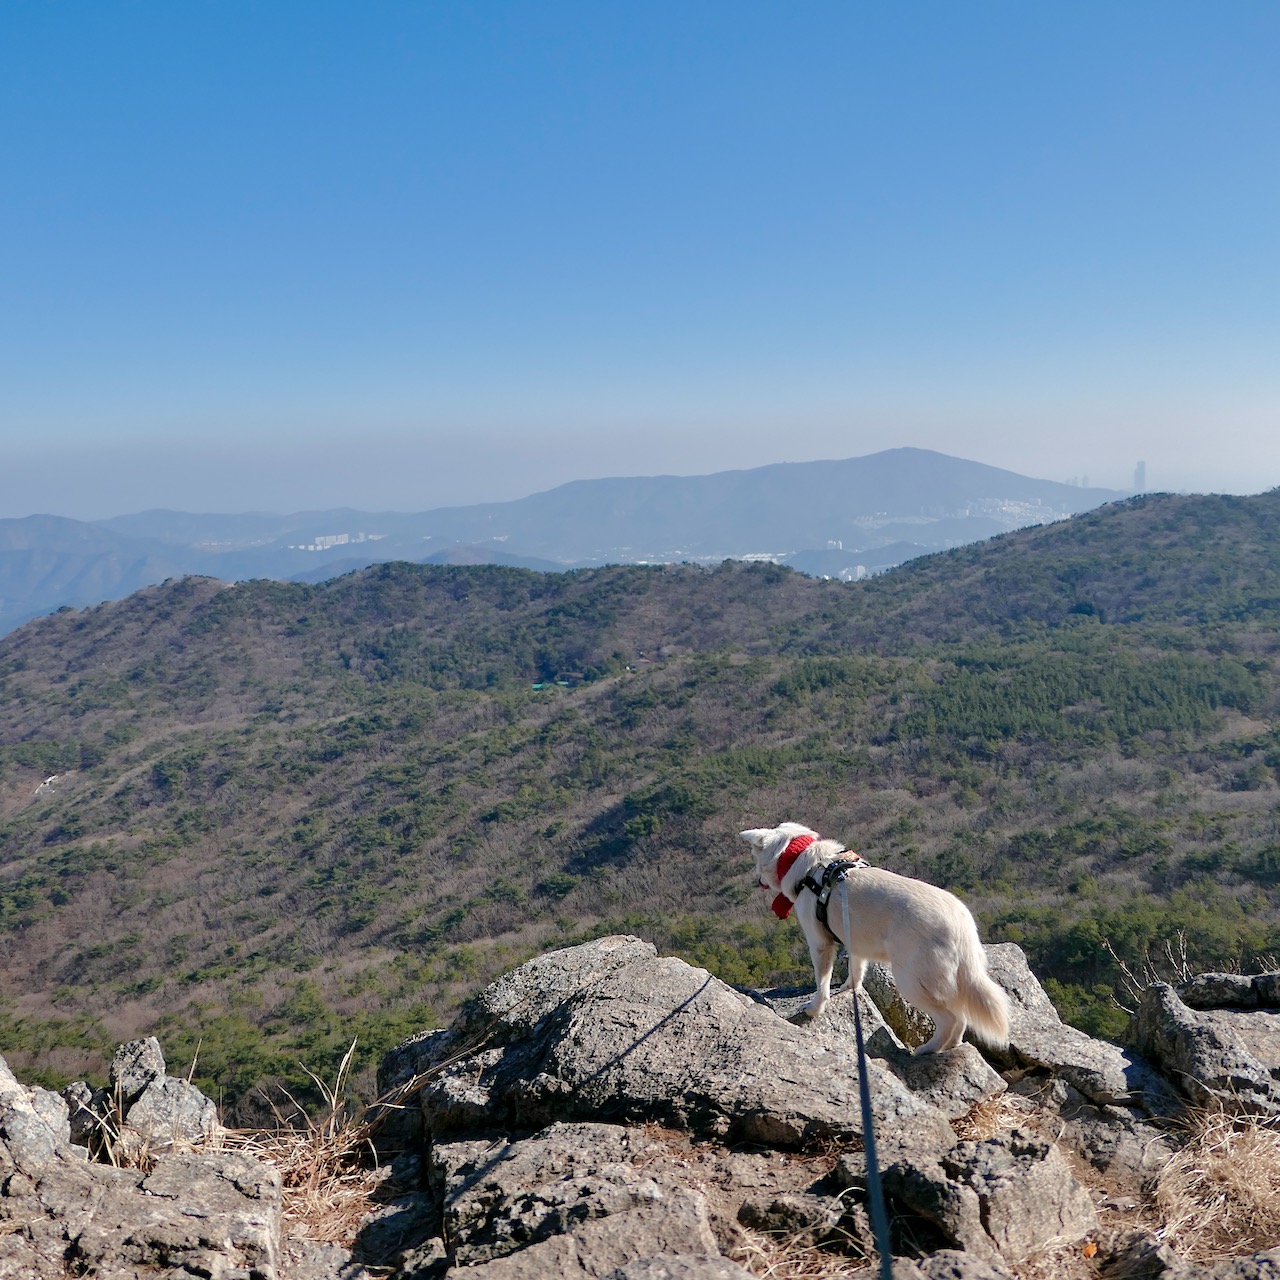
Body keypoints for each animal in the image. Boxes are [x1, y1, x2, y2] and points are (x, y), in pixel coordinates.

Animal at [742, 824, 1008, 1054]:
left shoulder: (820, 944)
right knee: (961, 1017)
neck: (809, 865)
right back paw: (951, 1046)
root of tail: (961, 926)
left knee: (949, 1018)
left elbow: (822, 984)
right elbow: (856, 970)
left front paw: (814, 1008)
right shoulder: (855, 941)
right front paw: (849, 989)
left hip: (910, 981)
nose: (757, 880)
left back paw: (927, 1049)